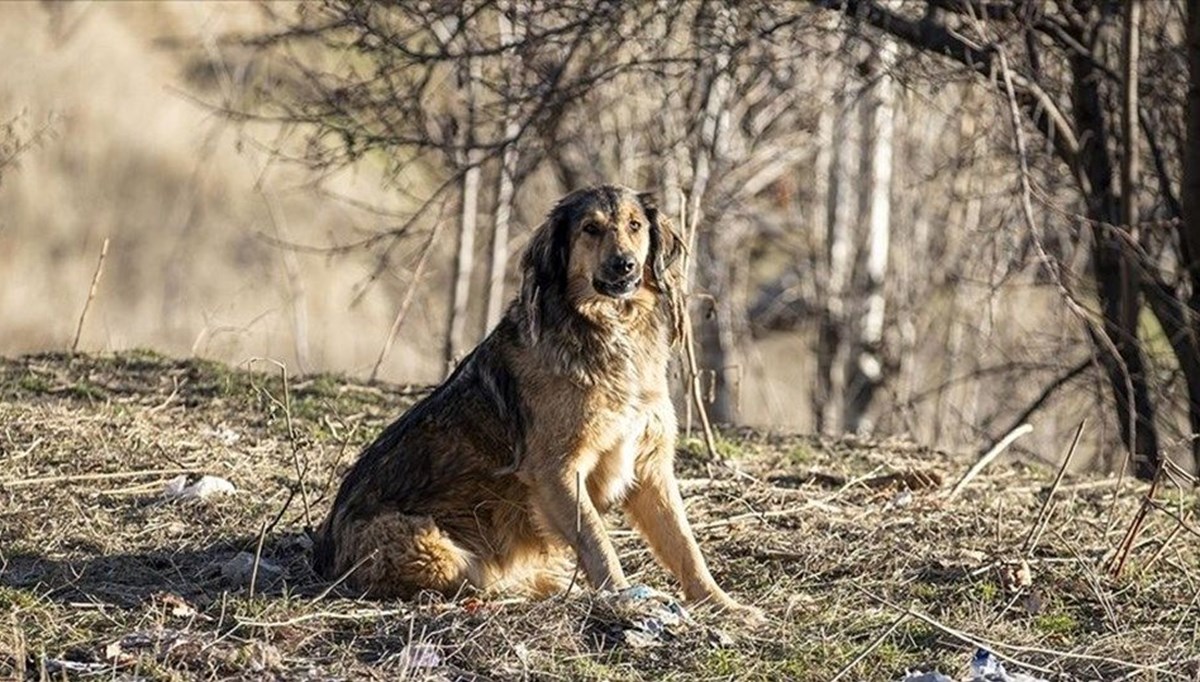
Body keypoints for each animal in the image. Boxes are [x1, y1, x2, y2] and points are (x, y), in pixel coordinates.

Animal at [314, 184, 753, 619]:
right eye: (590, 229)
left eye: (635, 226)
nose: (625, 265)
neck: (610, 327)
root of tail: (326, 552)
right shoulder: (556, 470)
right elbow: (597, 540)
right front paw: (623, 597)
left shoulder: (649, 464)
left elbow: (684, 544)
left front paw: (721, 602)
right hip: (433, 548)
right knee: (477, 579)